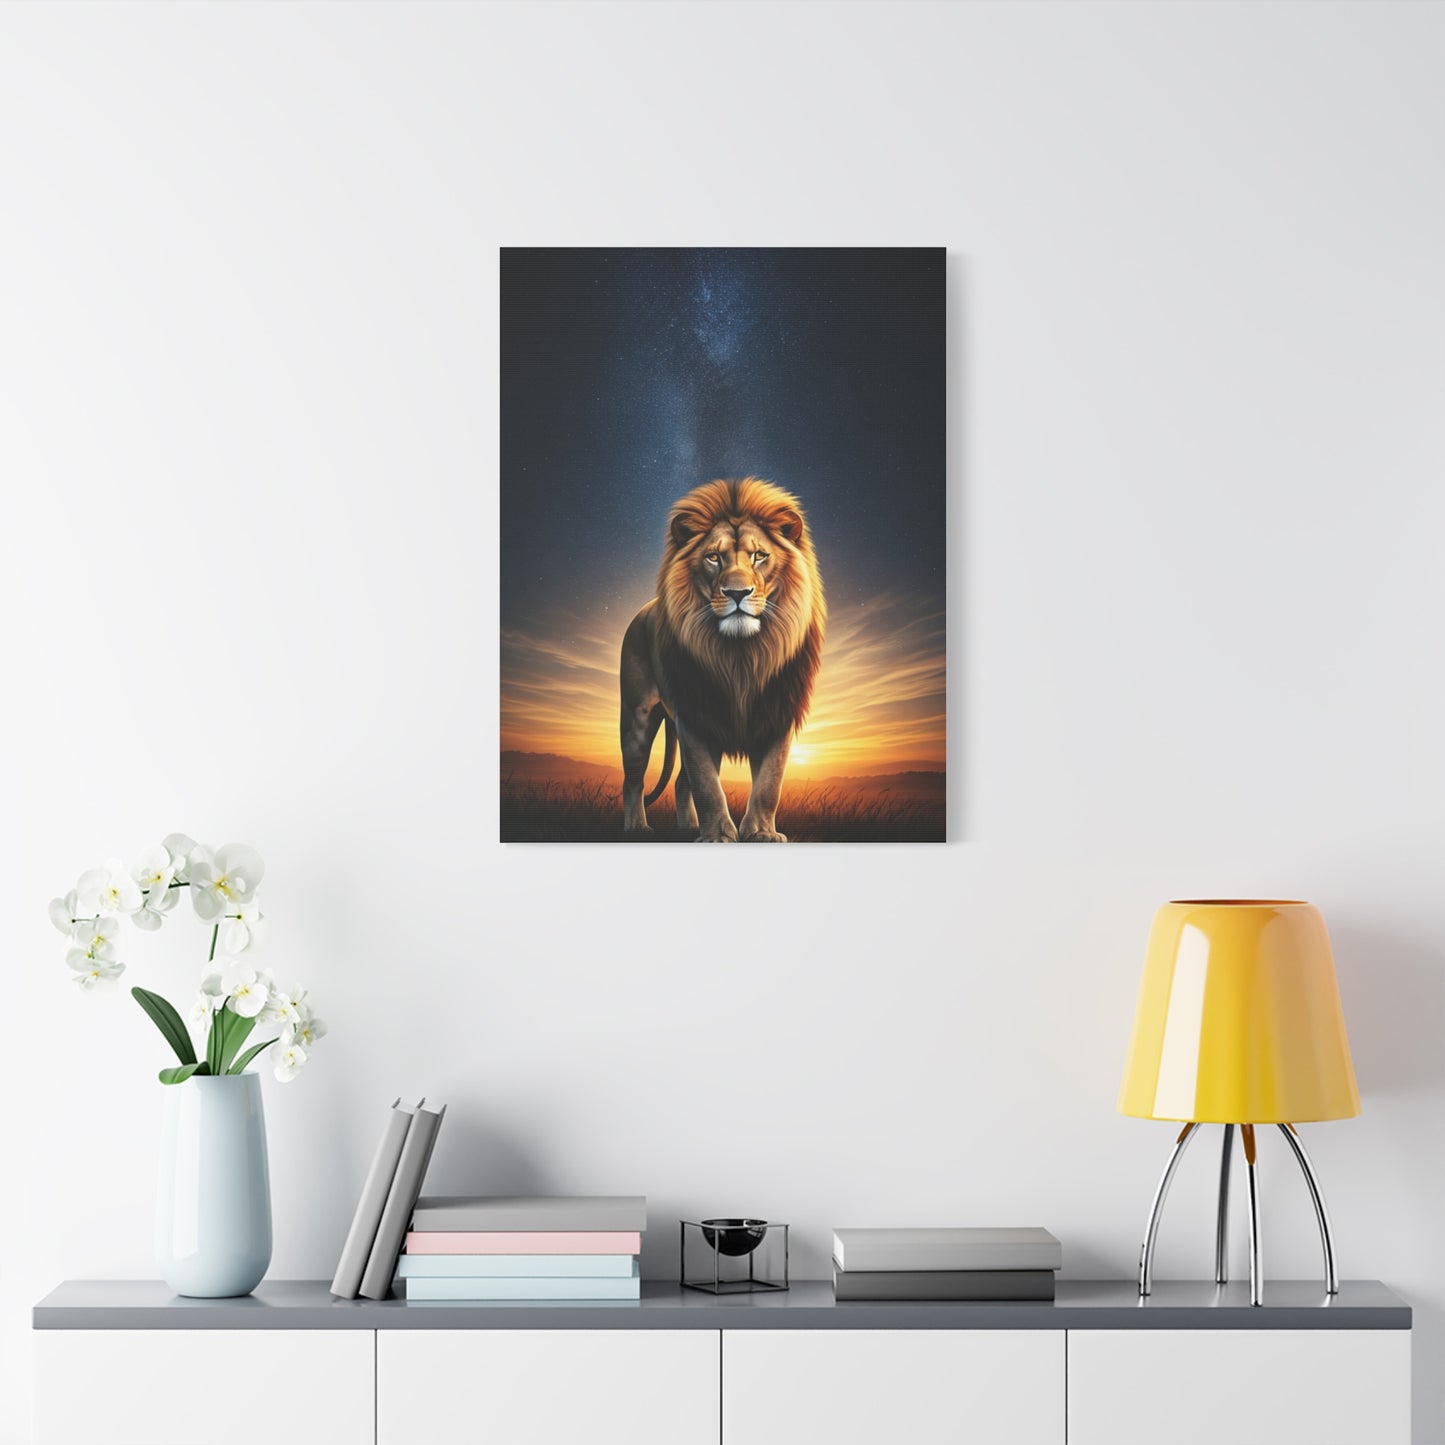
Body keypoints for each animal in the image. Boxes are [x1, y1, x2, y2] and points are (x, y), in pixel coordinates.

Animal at [619, 476, 825, 842]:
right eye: (713, 557)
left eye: (760, 556)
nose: (737, 593)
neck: (741, 656)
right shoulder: (694, 716)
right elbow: (707, 785)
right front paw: (717, 835)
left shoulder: (777, 714)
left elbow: (769, 783)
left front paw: (761, 833)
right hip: (636, 719)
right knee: (633, 780)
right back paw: (637, 827)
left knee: (679, 782)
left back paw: (688, 827)